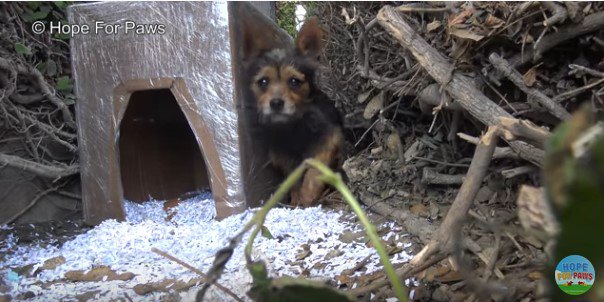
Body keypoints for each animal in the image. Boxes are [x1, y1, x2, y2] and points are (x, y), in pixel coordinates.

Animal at [243, 18, 342, 208]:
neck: (293, 124)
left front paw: (308, 195)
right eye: (263, 82)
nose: (276, 103)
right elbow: (293, 177)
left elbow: (314, 168)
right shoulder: (282, 154)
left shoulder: (330, 137)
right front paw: (297, 198)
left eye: (294, 81)